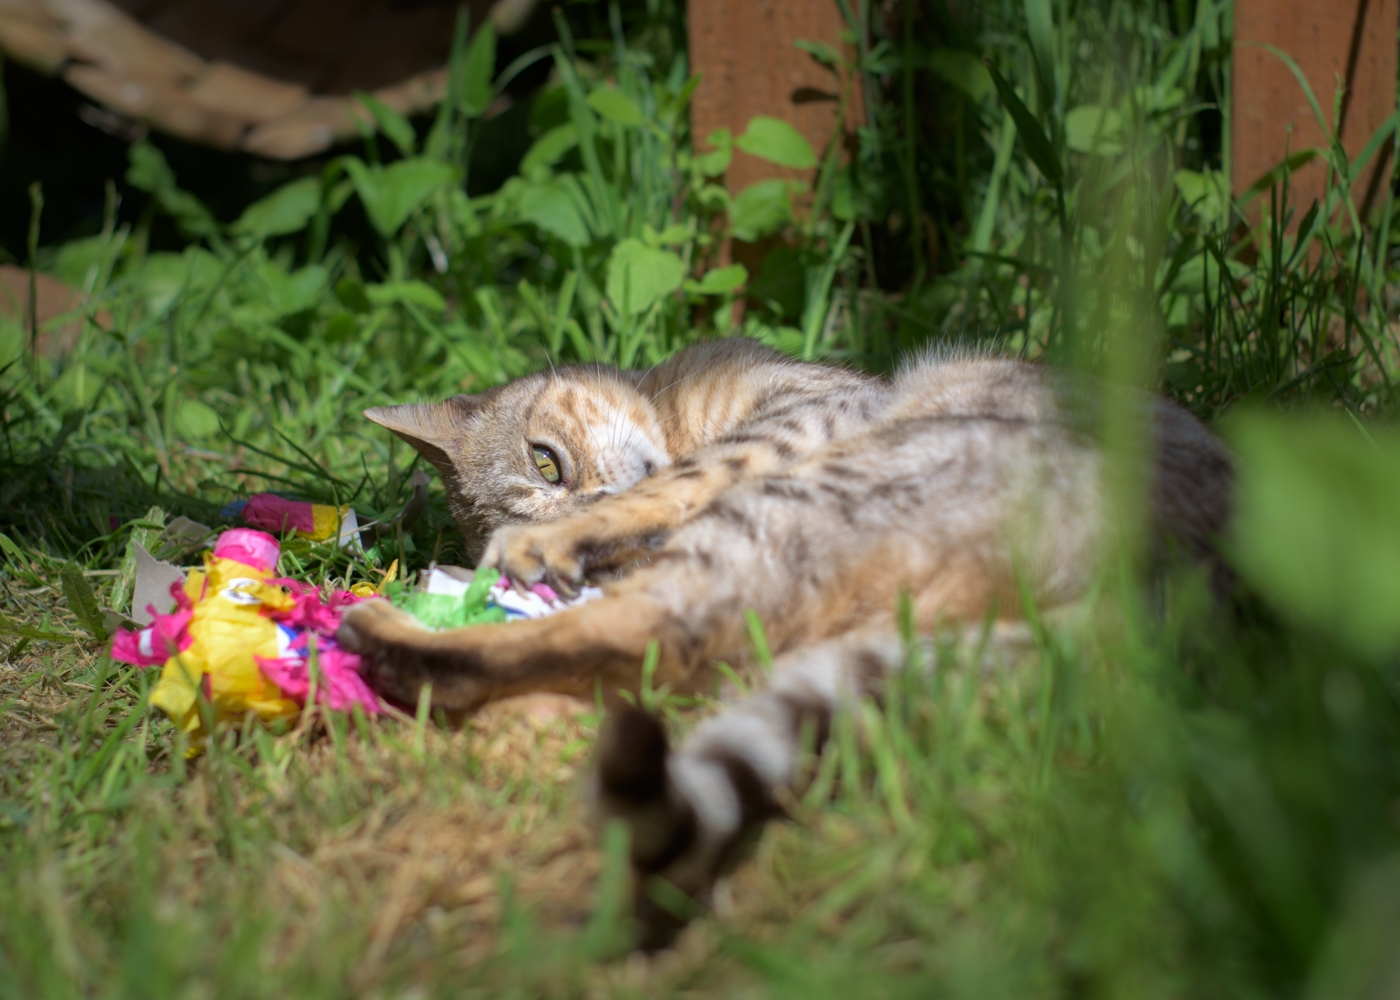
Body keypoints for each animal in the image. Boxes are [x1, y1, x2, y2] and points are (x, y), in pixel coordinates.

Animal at [341, 334, 1237, 941]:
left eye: (547, 462)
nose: (578, 539)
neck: (670, 401)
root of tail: (1191, 582)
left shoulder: (803, 412)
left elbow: (672, 481)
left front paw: (538, 542)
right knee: (652, 643)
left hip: (803, 509)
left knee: (651, 637)